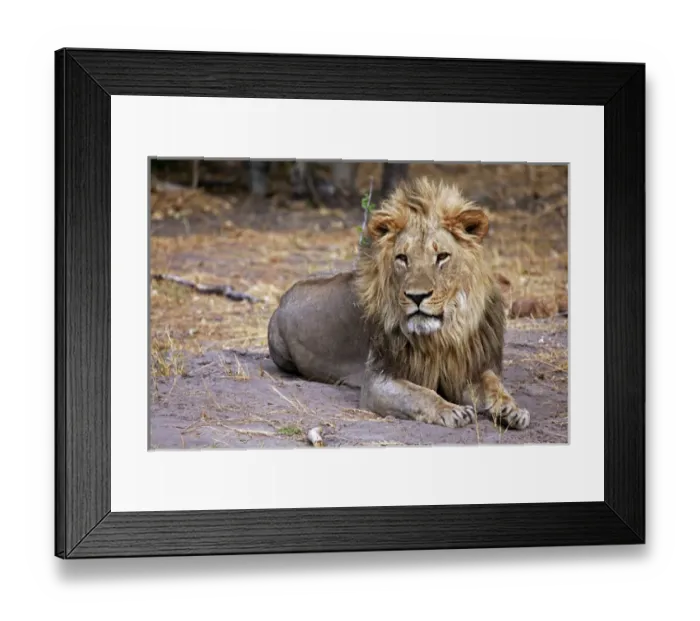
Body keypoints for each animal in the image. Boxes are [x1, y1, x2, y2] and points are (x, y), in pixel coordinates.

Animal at [267, 177, 530, 431]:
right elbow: (420, 394)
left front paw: (513, 410)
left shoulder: (466, 369)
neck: (443, 336)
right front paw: (451, 410)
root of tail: (285, 295)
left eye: (442, 257)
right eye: (402, 258)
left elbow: (493, 385)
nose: (417, 296)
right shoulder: (378, 379)